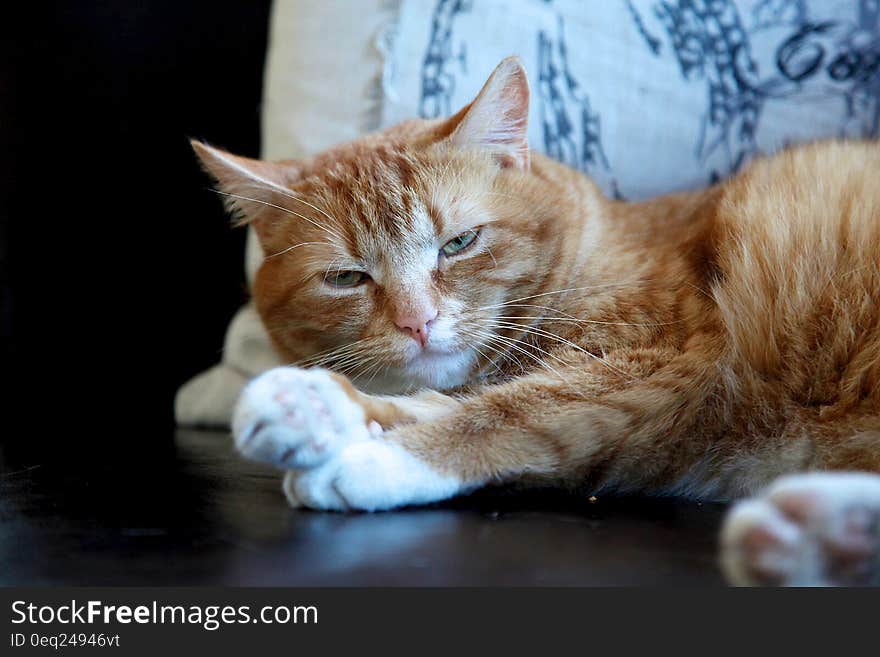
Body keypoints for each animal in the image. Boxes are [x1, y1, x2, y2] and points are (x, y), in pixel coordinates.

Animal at [192, 59, 880, 584]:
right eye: (346, 278)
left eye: (459, 243)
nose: (419, 322)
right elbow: (439, 399)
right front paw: (317, 408)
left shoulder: (668, 364)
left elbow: (509, 411)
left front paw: (378, 459)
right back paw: (820, 538)